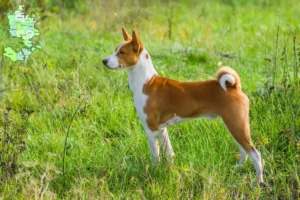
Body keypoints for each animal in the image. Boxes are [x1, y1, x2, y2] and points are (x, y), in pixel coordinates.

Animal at [102, 27, 264, 183]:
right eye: (115, 49)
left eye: (122, 52)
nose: (104, 61)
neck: (146, 82)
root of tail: (233, 87)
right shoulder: (162, 129)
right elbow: (169, 153)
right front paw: (170, 171)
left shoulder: (151, 129)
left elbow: (155, 157)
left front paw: (153, 173)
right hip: (234, 126)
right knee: (244, 151)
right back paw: (238, 168)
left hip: (236, 125)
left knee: (255, 154)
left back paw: (258, 181)